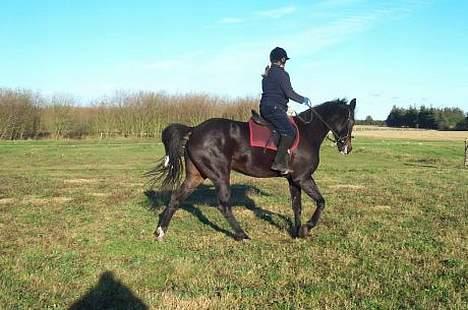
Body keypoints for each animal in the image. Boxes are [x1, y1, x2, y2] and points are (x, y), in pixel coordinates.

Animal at [148, 98, 356, 241]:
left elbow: (297, 206)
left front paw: (297, 232)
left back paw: (161, 232)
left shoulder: (293, 180)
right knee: (224, 205)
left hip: (196, 175)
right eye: (350, 122)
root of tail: (194, 130)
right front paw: (307, 228)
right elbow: (321, 202)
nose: (347, 148)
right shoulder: (303, 178)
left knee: (176, 198)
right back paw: (242, 235)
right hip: (220, 174)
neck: (307, 133)